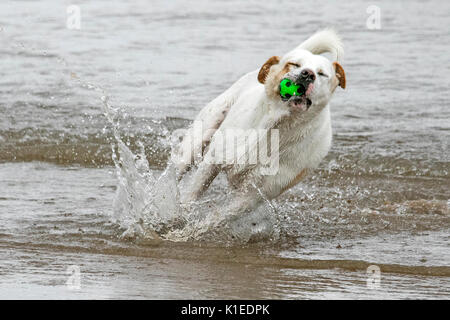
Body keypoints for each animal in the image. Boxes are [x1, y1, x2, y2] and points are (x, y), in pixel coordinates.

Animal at [171, 29, 346, 220]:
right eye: (294, 64)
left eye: (322, 74)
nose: (307, 74)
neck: (273, 125)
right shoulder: (213, 162)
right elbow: (192, 194)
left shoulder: (253, 195)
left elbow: (217, 217)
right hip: (198, 138)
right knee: (178, 169)